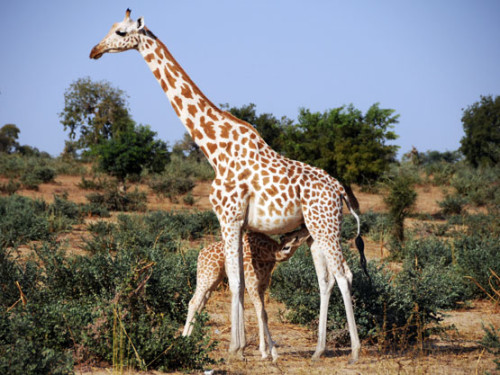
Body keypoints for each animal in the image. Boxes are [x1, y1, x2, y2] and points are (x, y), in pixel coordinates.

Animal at [182, 226, 310, 362]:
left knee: (200, 304)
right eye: (296, 236)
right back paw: (184, 339)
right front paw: (264, 352)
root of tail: (200, 253)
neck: (268, 254)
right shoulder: (251, 284)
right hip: (207, 275)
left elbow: (264, 314)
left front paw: (273, 354)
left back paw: (190, 339)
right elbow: (260, 312)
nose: (306, 230)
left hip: (215, 280)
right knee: (193, 302)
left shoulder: (262, 286)